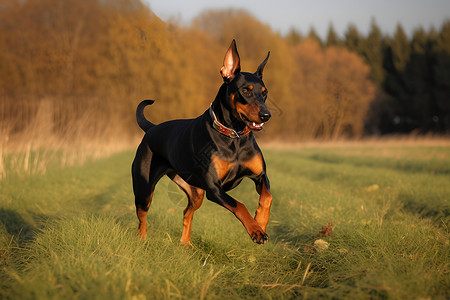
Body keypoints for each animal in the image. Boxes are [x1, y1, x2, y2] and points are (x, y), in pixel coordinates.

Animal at [132, 39, 272, 245]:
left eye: (265, 92)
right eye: (246, 90)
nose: (266, 115)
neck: (234, 136)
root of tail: (151, 128)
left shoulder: (260, 175)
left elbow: (267, 197)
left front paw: (260, 223)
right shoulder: (215, 188)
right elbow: (239, 204)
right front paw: (255, 230)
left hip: (195, 191)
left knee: (186, 212)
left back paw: (185, 244)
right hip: (144, 189)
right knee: (142, 216)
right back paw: (142, 240)